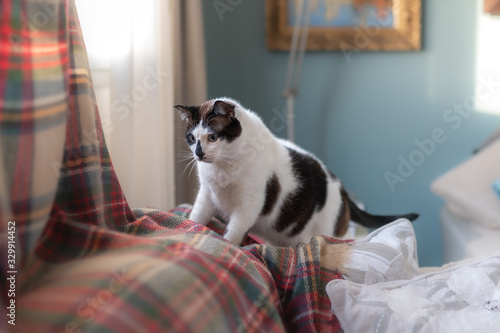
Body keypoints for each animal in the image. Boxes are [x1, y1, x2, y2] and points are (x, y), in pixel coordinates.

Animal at [176, 97, 418, 245]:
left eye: (213, 137)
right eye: (192, 138)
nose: (199, 154)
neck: (223, 168)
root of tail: (341, 187)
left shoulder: (248, 205)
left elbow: (233, 233)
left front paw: (228, 244)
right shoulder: (207, 194)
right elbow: (197, 217)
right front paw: (190, 230)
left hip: (325, 230)